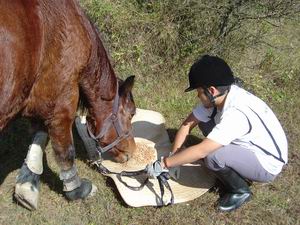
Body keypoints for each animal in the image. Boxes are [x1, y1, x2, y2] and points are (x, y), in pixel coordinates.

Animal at [0, 0, 136, 207]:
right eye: (131, 113)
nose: (132, 150)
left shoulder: (42, 100)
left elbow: (39, 136)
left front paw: (28, 182)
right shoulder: (62, 102)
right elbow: (65, 152)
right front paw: (76, 189)